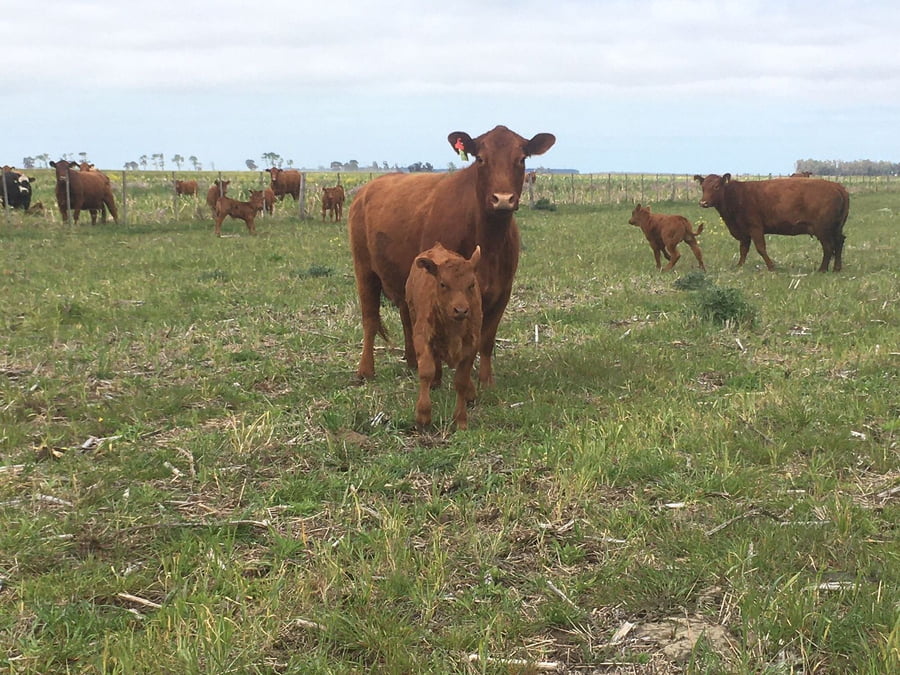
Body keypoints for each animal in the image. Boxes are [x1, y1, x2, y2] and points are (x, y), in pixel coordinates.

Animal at [349, 124, 555, 386]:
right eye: (480, 159)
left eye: (521, 159)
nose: (503, 199)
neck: (488, 242)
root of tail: (367, 188)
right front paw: (436, 379)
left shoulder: (502, 291)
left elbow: (485, 340)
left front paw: (485, 381)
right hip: (364, 270)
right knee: (370, 319)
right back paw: (365, 370)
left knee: (406, 316)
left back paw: (412, 362)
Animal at [405, 244, 482, 430]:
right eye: (442, 284)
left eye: (471, 284)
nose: (461, 310)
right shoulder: (421, 337)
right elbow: (426, 371)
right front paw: (423, 415)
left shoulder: (472, 346)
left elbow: (461, 381)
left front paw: (461, 420)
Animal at [694, 173, 849, 272]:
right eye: (703, 187)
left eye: (716, 187)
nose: (703, 203)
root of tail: (837, 186)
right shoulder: (744, 231)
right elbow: (743, 249)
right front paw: (739, 266)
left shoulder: (755, 227)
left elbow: (761, 248)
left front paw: (771, 267)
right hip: (836, 228)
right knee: (839, 242)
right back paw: (837, 268)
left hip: (823, 229)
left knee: (828, 247)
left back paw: (822, 269)